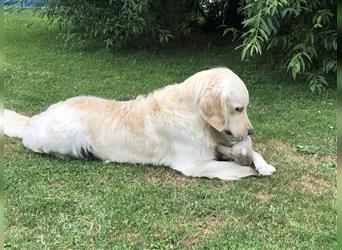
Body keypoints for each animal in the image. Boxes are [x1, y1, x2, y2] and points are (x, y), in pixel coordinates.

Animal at [4, 67, 276, 181]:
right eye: (239, 108)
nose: (251, 131)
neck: (193, 114)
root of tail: (37, 118)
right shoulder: (194, 164)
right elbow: (236, 169)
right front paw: (252, 170)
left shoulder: (217, 144)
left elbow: (252, 154)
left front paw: (264, 165)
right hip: (66, 135)